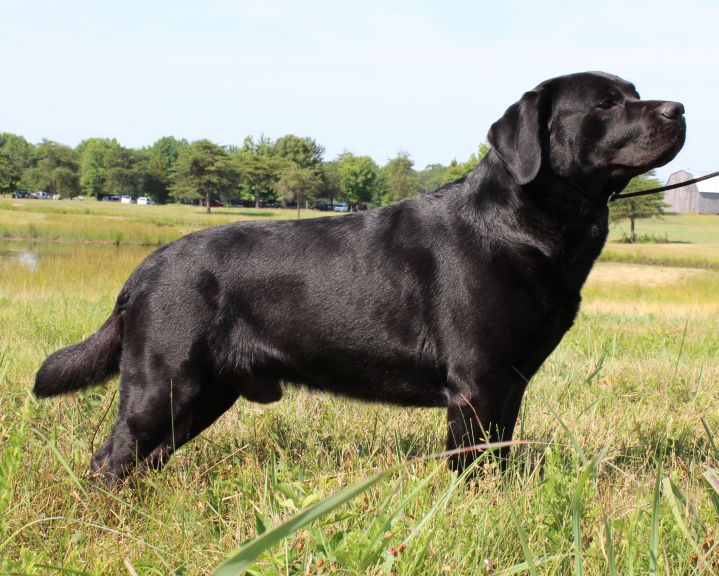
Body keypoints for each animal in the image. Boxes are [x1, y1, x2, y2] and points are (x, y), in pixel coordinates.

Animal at [33, 72, 688, 482]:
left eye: (635, 92)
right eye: (606, 104)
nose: (678, 108)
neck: (524, 222)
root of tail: (143, 268)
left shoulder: (508, 385)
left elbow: (500, 457)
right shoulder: (476, 384)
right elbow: (474, 467)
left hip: (203, 394)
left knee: (140, 459)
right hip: (164, 384)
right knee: (111, 457)